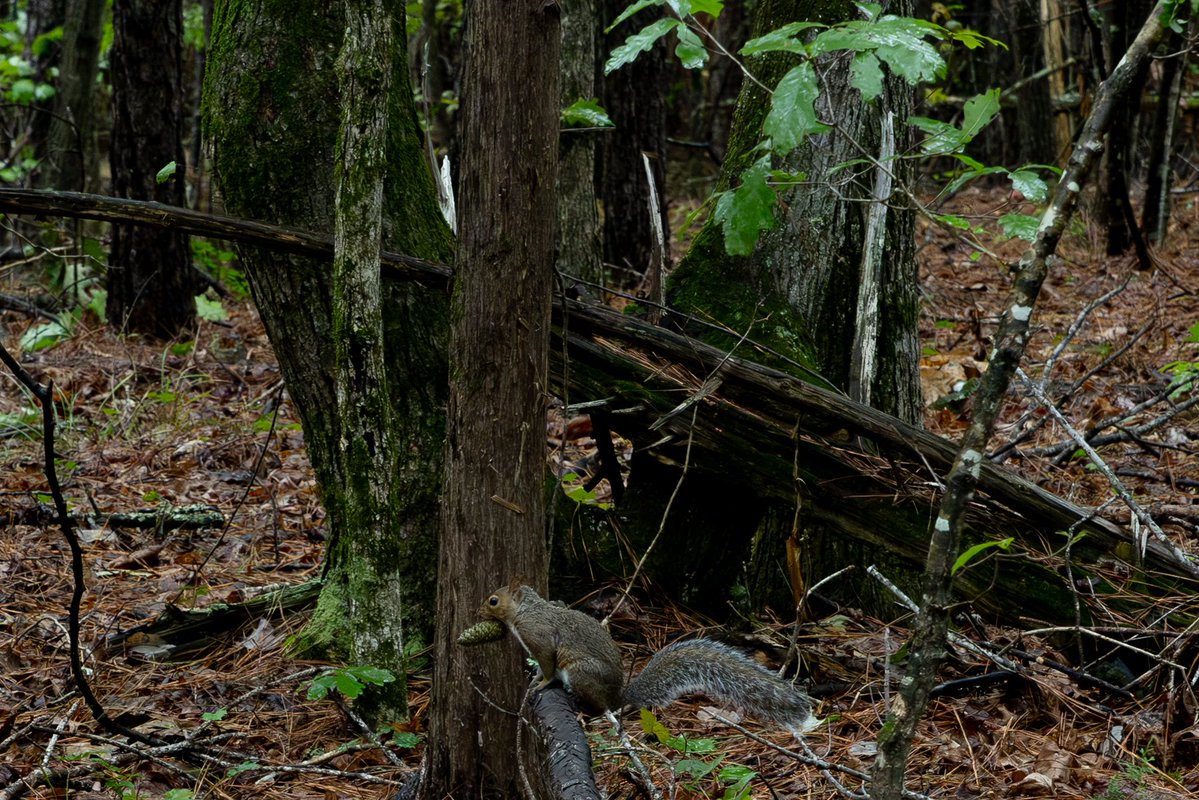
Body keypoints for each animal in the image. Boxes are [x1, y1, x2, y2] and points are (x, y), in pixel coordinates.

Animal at [479, 582, 816, 732]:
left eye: (493, 600)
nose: (478, 611)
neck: (526, 611)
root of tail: (618, 695)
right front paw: (534, 677)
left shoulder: (540, 638)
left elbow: (548, 664)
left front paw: (541, 683)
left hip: (582, 673)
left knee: (602, 708)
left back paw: (588, 712)